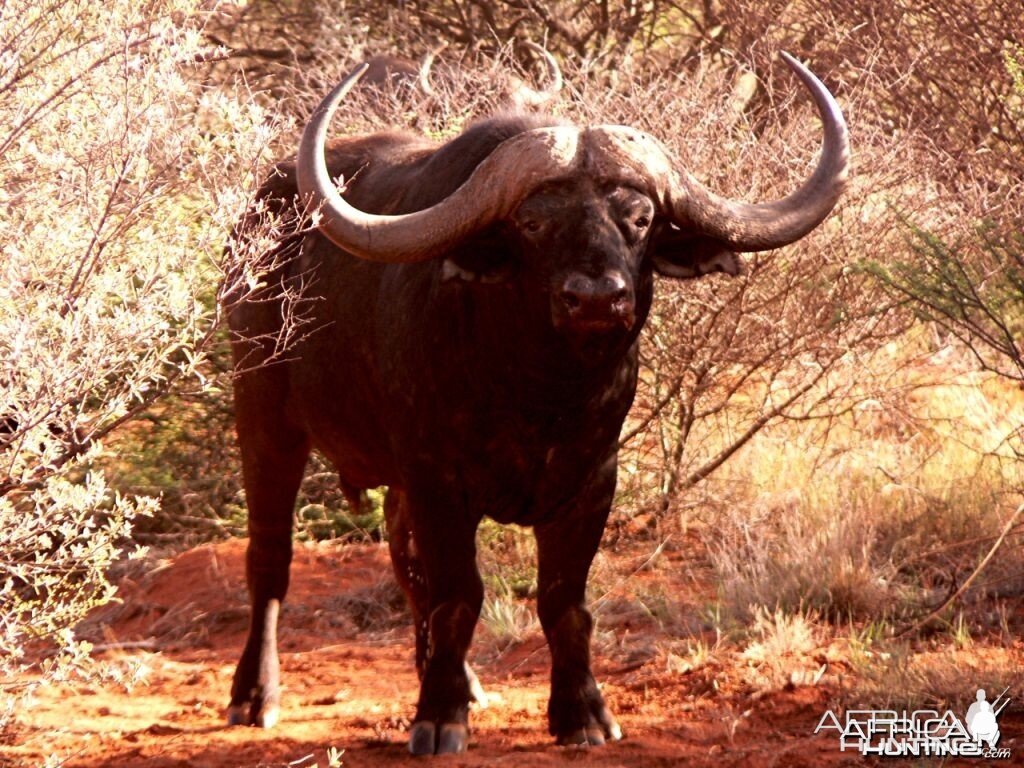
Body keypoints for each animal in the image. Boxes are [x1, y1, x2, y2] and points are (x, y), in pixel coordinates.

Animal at [228, 51, 851, 753]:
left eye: (640, 219)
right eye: (532, 222)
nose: (598, 297)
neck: (539, 393)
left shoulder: (591, 481)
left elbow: (562, 601)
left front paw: (580, 711)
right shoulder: (438, 481)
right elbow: (458, 595)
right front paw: (439, 715)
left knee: (401, 559)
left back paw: (462, 679)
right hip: (264, 418)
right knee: (272, 560)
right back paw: (255, 695)